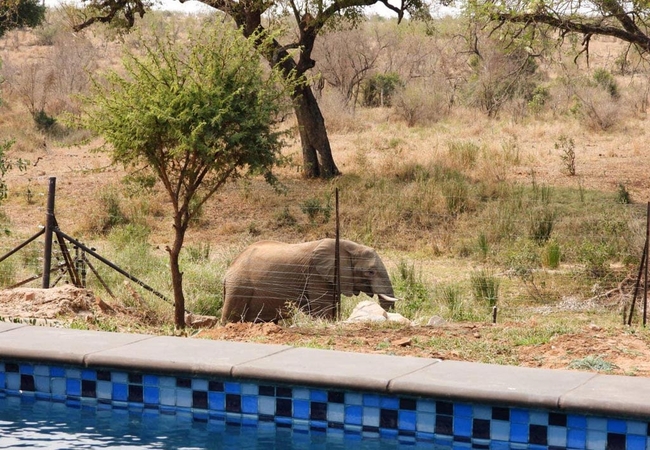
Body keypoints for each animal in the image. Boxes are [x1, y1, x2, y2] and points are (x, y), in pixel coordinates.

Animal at [220, 239, 398, 324]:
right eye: (370, 272)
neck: (350, 246)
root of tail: (228, 270)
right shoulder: (316, 275)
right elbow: (324, 310)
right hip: (239, 286)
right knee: (230, 317)